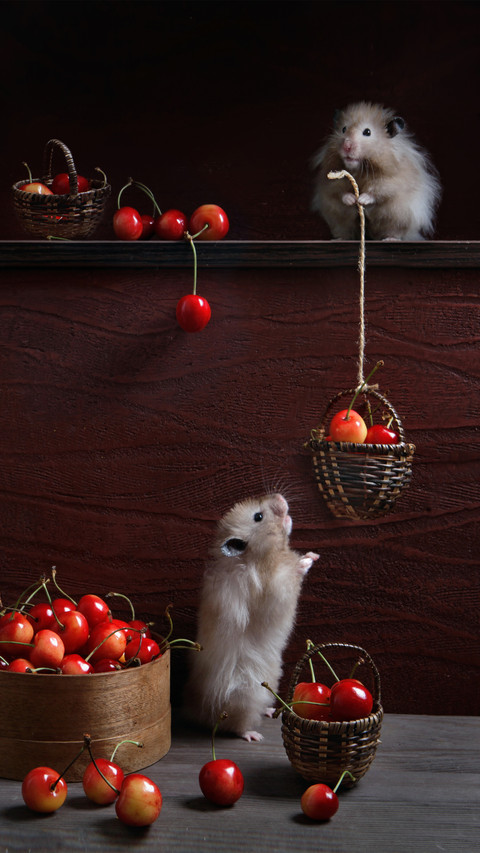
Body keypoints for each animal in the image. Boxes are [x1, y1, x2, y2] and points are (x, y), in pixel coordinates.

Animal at [184, 493, 319, 742]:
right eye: (258, 517)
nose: (280, 496)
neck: (261, 557)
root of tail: (195, 712)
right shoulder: (273, 589)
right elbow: (291, 573)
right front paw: (307, 560)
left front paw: (313, 554)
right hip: (245, 696)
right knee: (236, 725)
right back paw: (254, 735)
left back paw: (269, 711)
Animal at [311, 101, 442, 240]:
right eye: (344, 129)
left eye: (367, 132)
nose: (347, 146)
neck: (360, 169)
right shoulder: (330, 183)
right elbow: (339, 191)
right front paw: (352, 200)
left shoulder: (391, 181)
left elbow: (378, 191)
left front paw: (361, 199)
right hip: (338, 219)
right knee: (344, 231)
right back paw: (340, 239)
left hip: (398, 217)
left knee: (394, 231)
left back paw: (390, 239)